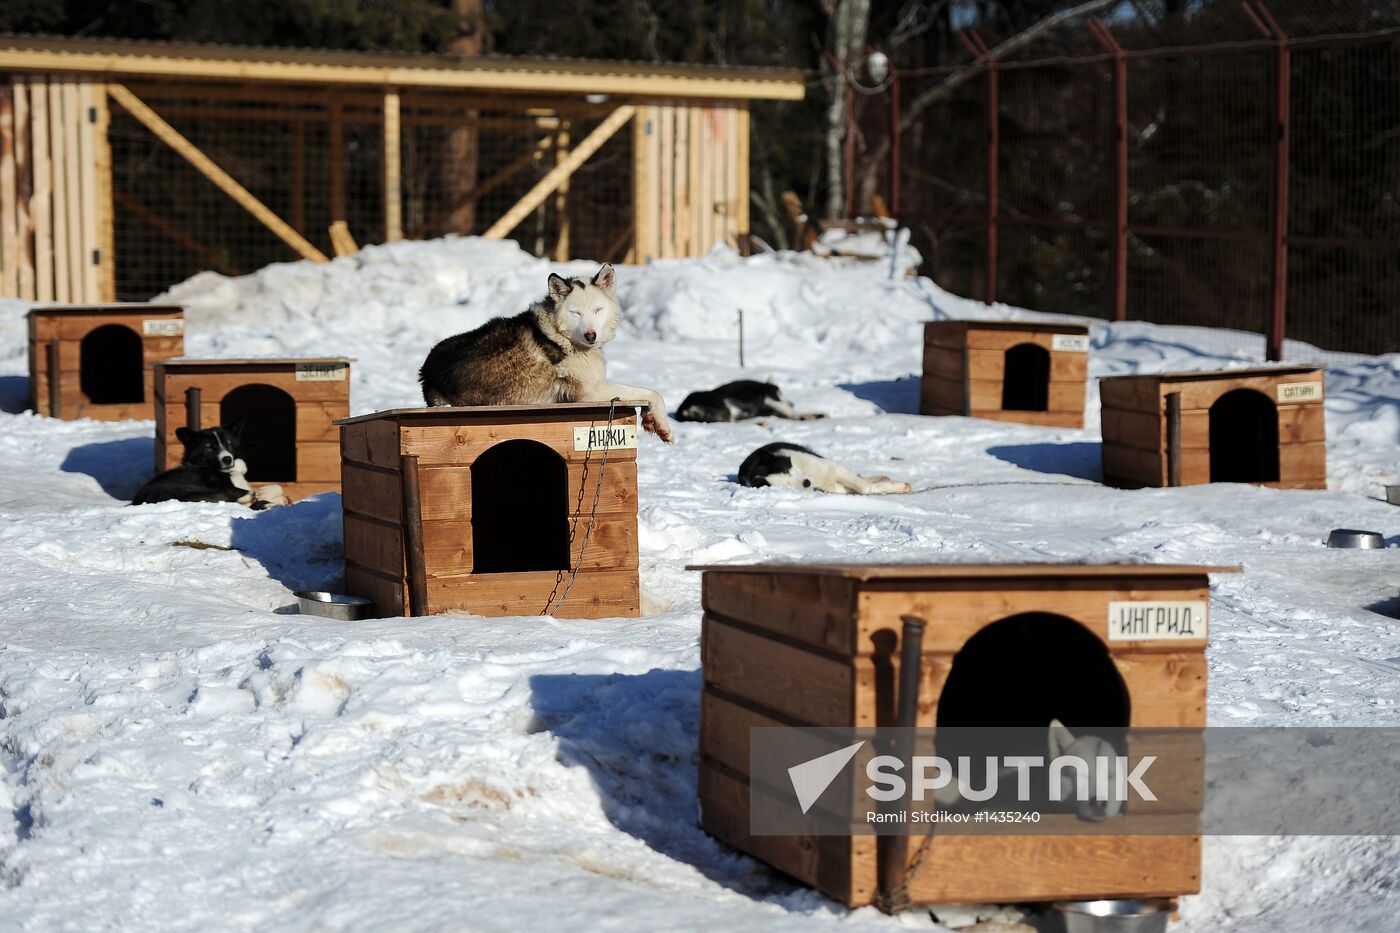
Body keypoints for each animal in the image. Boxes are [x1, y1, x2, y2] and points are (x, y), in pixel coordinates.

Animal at [131, 423, 287, 509]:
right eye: (209, 448)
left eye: (228, 444)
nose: (227, 459)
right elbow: (246, 493)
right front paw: (261, 496)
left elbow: (278, 486)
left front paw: (265, 492)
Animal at [414, 257, 672, 439]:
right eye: (576, 313)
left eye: (598, 310)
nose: (591, 335)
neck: (563, 336)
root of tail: (427, 370)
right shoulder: (591, 392)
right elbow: (653, 393)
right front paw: (662, 426)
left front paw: (652, 421)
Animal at [739, 442, 912, 493]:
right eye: (787, 485)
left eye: (789, 471)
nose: (806, 483)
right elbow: (862, 488)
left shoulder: (831, 467)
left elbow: (864, 486)